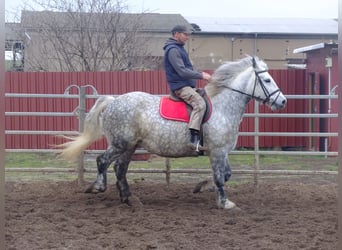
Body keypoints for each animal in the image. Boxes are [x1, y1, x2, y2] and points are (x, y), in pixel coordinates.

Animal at [57, 56, 288, 209]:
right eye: (267, 80)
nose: (283, 101)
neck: (223, 106)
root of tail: (114, 101)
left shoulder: (222, 151)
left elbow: (226, 174)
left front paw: (201, 187)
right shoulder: (217, 151)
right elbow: (220, 177)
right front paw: (224, 202)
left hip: (130, 146)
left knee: (120, 169)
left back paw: (129, 199)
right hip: (120, 143)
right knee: (103, 161)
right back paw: (98, 187)